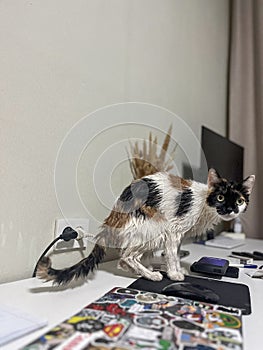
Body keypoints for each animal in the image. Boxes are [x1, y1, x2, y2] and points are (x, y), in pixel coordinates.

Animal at [37, 168, 256, 286]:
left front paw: (178, 270)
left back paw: (145, 270)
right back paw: (151, 275)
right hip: (156, 227)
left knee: (123, 261)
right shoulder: (174, 230)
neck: (204, 205)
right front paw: (175, 274)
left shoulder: (179, 235)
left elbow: (174, 253)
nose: (229, 209)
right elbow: (172, 255)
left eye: (239, 201)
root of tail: (111, 219)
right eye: (220, 198)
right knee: (127, 256)